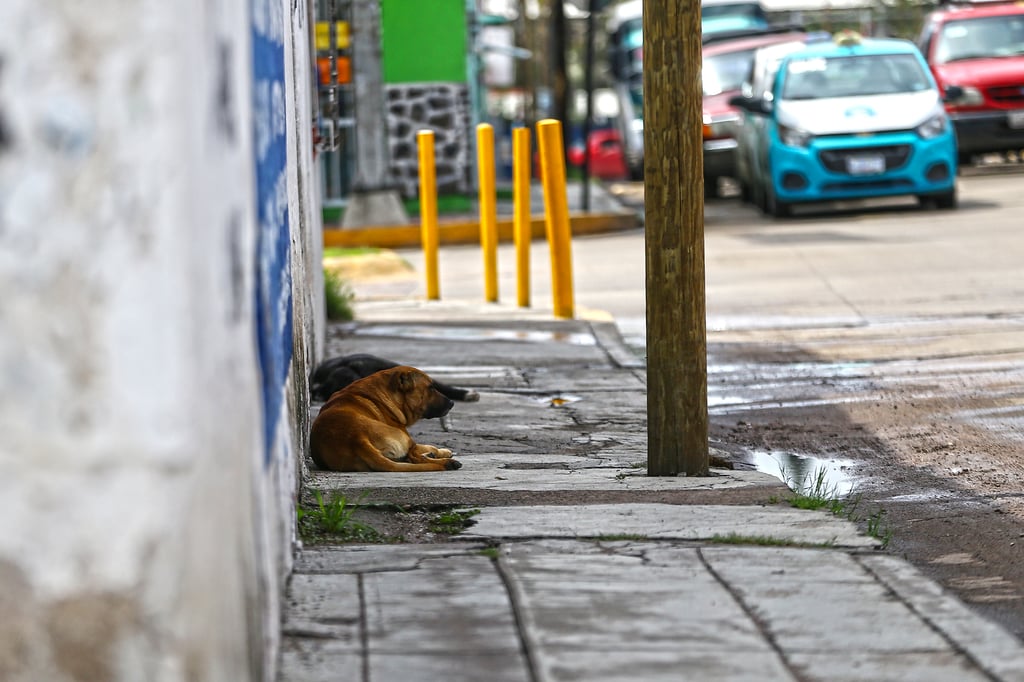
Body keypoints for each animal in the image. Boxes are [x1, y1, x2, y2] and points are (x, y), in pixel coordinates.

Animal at [307, 364, 460, 471]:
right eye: (431, 387)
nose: (452, 403)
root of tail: (356, 438)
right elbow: (430, 447)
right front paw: (442, 452)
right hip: (405, 438)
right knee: (414, 457)